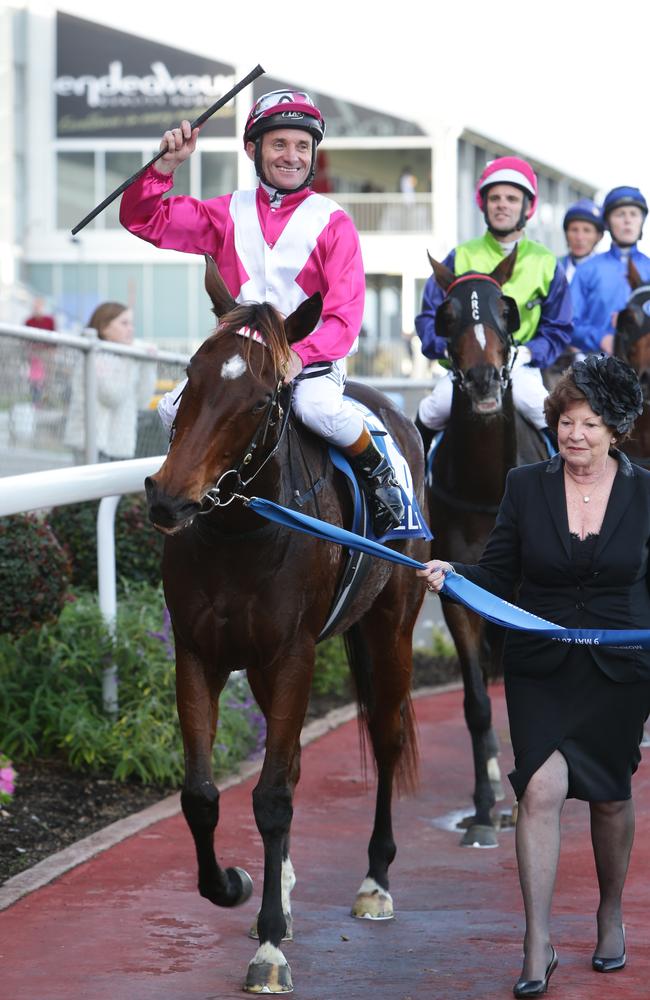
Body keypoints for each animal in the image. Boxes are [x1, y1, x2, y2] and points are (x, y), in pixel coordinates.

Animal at [143, 256, 426, 992]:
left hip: (390, 628)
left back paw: (375, 883)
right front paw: (236, 887)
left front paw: (270, 946)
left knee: (386, 737)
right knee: (293, 761)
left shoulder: (294, 653)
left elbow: (271, 798)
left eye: (262, 400)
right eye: (190, 374)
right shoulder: (199, 652)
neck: (240, 532)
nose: (167, 498)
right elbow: (203, 794)